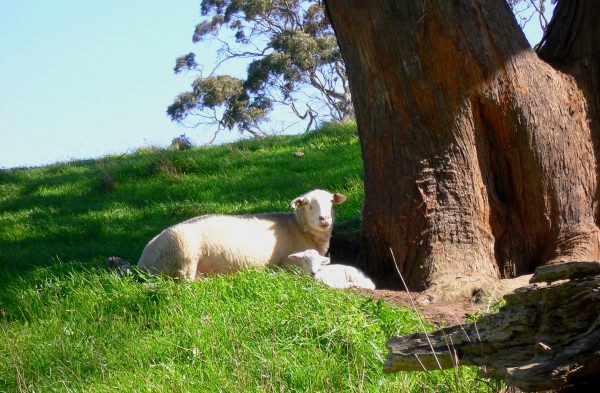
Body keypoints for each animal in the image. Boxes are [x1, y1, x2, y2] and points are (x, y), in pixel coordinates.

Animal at [134, 188, 344, 278]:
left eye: (331, 201)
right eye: (308, 204)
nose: (325, 218)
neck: (298, 227)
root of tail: (143, 260)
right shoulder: (290, 263)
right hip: (183, 255)